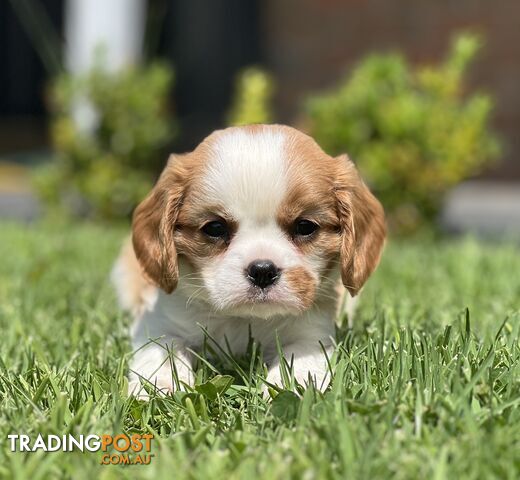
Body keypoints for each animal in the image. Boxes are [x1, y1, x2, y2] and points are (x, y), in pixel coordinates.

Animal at [110, 124, 386, 398]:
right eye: (215, 228)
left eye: (305, 226)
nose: (262, 270)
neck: (245, 319)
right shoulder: (158, 322)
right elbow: (163, 349)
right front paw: (160, 384)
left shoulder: (313, 332)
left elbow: (301, 357)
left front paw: (289, 384)